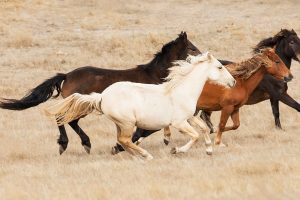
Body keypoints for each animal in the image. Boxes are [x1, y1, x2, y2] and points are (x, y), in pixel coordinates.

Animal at [0, 32, 202, 154]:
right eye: (192, 48)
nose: (204, 56)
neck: (155, 75)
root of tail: (67, 75)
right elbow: (146, 130)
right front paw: (120, 146)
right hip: (81, 106)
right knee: (63, 118)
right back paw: (69, 144)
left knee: (69, 121)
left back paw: (82, 144)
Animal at [45, 52, 236, 159]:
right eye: (220, 67)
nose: (233, 82)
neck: (181, 90)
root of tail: (102, 96)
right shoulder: (179, 122)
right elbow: (195, 135)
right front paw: (177, 150)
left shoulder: (189, 118)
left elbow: (203, 129)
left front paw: (209, 150)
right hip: (127, 123)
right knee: (124, 140)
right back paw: (146, 155)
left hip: (120, 124)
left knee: (122, 141)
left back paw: (136, 156)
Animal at [112, 28, 300, 155]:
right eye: (277, 61)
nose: (289, 77)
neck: (240, 82)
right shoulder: (229, 107)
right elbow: (222, 125)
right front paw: (217, 142)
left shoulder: (236, 108)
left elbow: (235, 125)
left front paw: (212, 136)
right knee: (145, 130)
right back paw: (124, 147)